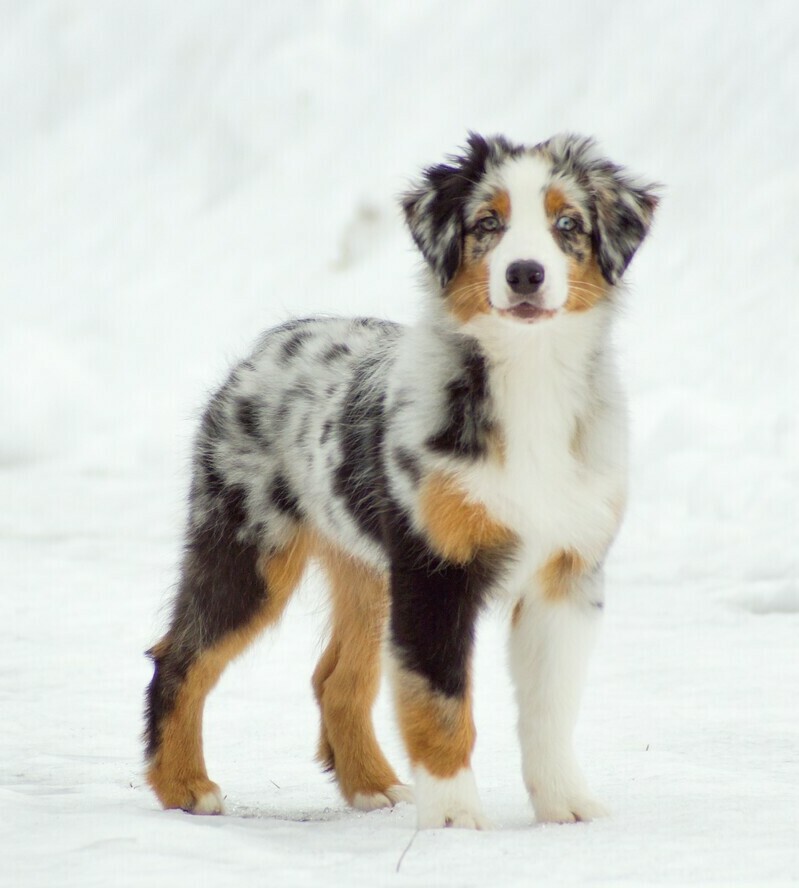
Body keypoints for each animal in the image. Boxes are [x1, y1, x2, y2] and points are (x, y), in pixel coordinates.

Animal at [142, 130, 656, 824]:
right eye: (487, 223)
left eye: (567, 223)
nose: (525, 274)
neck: (530, 378)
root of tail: (268, 343)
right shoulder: (436, 567)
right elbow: (439, 703)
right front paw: (454, 818)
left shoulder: (568, 570)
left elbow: (550, 709)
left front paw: (566, 806)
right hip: (248, 545)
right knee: (180, 654)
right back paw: (184, 787)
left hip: (367, 569)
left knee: (336, 678)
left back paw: (373, 786)